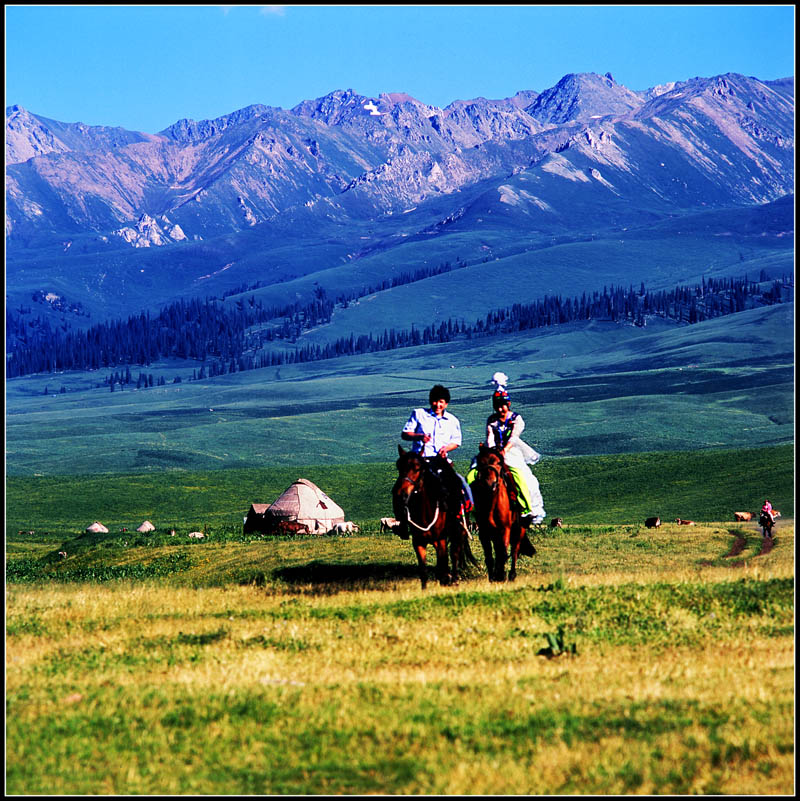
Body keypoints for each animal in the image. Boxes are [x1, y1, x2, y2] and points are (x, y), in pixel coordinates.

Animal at [392, 444, 466, 588]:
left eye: (418, 468)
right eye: (399, 467)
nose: (401, 494)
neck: (425, 513)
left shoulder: (441, 540)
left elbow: (443, 567)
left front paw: (447, 580)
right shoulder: (418, 542)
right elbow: (424, 571)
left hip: (456, 532)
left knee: (455, 553)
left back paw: (455, 579)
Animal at [468, 444, 536, 580]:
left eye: (499, 462)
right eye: (481, 462)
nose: (490, 484)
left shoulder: (505, 529)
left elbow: (503, 553)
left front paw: (500, 575)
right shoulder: (484, 531)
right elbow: (489, 556)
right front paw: (493, 577)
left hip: (519, 529)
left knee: (515, 549)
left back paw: (512, 574)